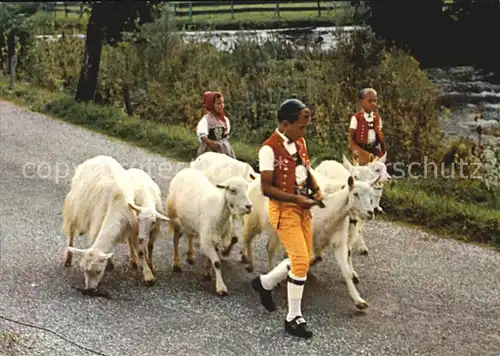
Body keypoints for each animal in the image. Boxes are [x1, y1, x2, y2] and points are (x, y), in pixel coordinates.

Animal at [61, 156, 168, 292]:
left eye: (98, 271)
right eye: (84, 270)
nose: (90, 290)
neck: (117, 203)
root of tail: (100, 157)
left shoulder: (132, 226)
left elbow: (140, 250)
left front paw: (148, 275)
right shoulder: (98, 220)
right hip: (75, 204)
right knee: (71, 232)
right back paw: (68, 258)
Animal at [166, 168, 252, 296]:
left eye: (247, 189)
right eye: (232, 190)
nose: (249, 206)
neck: (218, 211)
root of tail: (186, 169)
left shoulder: (214, 237)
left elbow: (211, 259)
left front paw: (207, 272)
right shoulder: (207, 239)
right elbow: (217, 262)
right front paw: (221, 287)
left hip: (190, 220)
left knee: (190, 234)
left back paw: (190, 256)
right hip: (175, 216)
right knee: (176, 239)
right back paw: (176, 264)